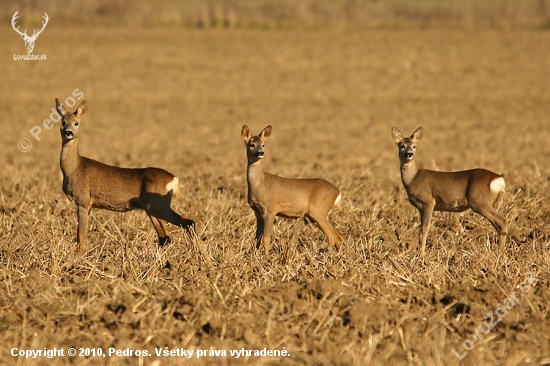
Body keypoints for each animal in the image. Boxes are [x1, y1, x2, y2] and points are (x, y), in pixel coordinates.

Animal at [57, 98, 196, 252]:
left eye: (76, 122)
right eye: (63, 122)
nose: (68, 132)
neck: (74, 167)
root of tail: (173, 179)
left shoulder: (83, 201)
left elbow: (80, 237)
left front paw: (79, 255)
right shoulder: (87, 205)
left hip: (158, 204)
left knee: (188, 223)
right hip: (150, 207)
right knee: (165, 236)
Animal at [392, 127, 508, 256]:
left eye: (414, 146)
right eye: (402, 145)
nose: (409, 154)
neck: (413, 178)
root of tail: (499, 179)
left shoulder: (428, 201)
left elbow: (424, 230)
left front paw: (421, 255)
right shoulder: (420, 207)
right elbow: (420, 230)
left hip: (479, 201)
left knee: (503, 221)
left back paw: (500, 253)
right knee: (498, 224)